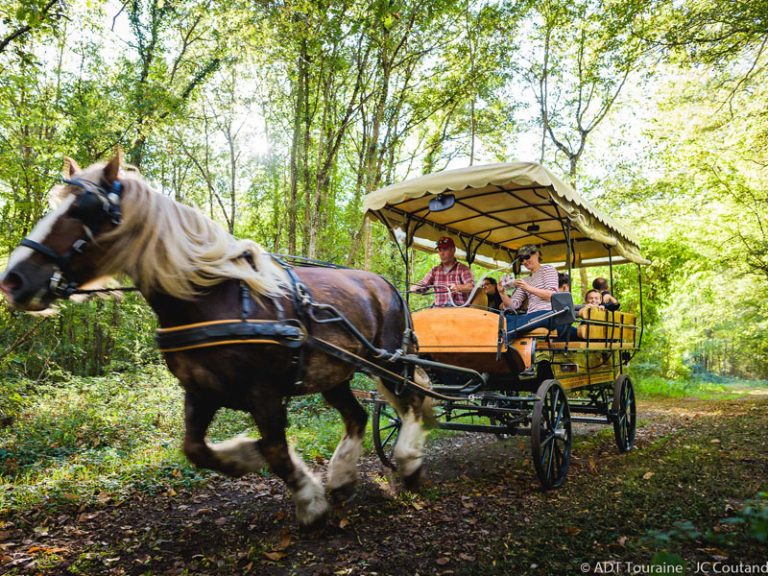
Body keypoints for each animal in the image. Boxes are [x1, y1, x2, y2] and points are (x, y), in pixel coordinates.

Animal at [0, 154, 428, 532]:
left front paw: (308, 502)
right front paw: (244, 455)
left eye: (84, 209)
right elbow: (197, 449)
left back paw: (408, 464)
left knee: (412, 405)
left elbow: (276, 449)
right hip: (336, 373)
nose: (13, 279)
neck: (207, 297)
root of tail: (386, 283)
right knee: (357, 416)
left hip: (389, 362)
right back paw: (341, 478)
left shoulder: (264, 392)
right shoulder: (201, 390)